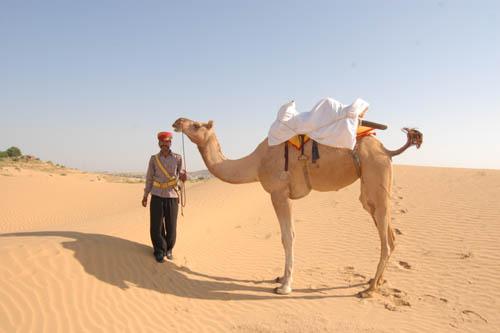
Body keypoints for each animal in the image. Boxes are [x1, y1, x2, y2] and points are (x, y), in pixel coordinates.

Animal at [171, 116, 422, 296]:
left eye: (196, 125)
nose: (177, 121)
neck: (256, 163)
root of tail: (386, 149)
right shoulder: (285, 195)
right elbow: (286, 235)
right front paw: (280, 278)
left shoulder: (279, 192)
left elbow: (288, 236)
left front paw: (284, 286)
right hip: (374, 185)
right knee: (389, 233)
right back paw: (375, 282)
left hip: (375, 173)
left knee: (386, 238)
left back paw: (368, 290)